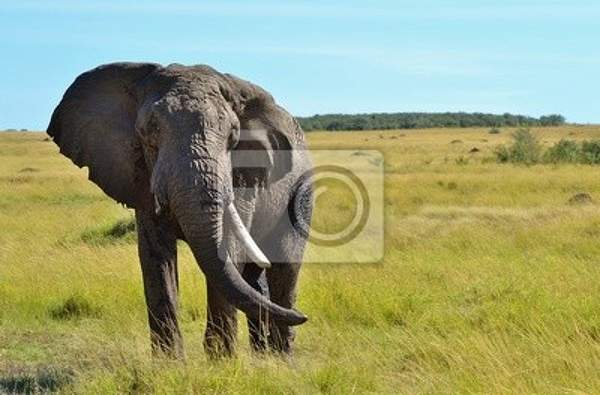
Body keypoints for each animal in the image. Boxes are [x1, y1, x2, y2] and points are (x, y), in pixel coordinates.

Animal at [47, 62, 314, 358]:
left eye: (233, 138)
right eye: (149, 132)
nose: (305, 316)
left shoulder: (243, 175)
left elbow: (228, 252)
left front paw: (220, 361)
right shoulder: (141, 177)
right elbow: (155, 256)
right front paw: (169, 362)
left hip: (300, 194)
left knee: (284, 267)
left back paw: (280, 357)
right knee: (252, 280)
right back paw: (262, 354)